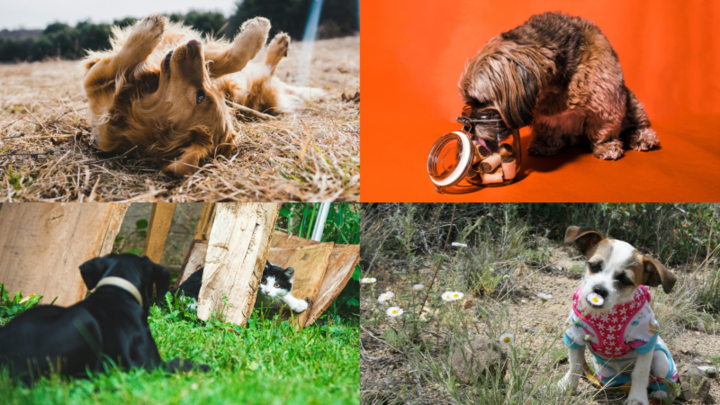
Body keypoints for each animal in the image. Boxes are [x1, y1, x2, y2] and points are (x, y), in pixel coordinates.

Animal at [82, 15, 324, 175]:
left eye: (201, 96)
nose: (194, 43)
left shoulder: (93, 82)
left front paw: (147, 32)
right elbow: (231, 59)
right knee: (266, 72)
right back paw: (280, 45)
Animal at [462, 12, 660, 159]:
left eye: (480, 101)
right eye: (469, 101)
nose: (469, 126)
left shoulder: (606, 105)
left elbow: (603, 128)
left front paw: (606, 146)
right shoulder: (543, 116)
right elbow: (547, 129)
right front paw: (545, 144)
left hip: (631, 100)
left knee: (636, 124)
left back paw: (642, 137)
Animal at [556, 226, 680, 404]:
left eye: (624, 280)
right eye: (594, 266)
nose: (599, 290)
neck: (606, 314)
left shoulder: (644, 341)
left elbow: (640, 374)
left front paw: (637, 398)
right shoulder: (575, 336)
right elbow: (575, 365)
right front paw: (567, 386)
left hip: (660, 358)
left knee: (659, 379)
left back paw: (660, 393)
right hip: (605, 371)